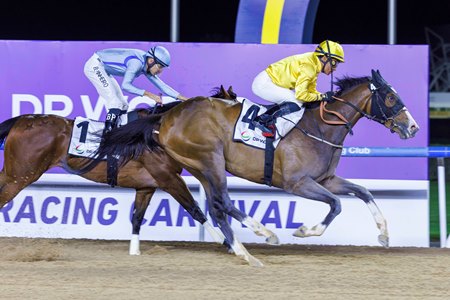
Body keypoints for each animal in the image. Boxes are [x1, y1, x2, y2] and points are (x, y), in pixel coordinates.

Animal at [0, 86, 250, 255]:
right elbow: (195, 209)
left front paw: (134, 250)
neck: (159, 131)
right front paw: (226, 242)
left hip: (12, 172)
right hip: (20, 175)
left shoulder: (147, 185)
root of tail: (21, 121)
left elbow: (137, 217)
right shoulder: (169, 178)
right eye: (233, 110)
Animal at [76, 69, 418, 266]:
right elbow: (336, 205)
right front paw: (305, 230)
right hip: (210, 159)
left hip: (199, 166)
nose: (412, 127)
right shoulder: (297, 183)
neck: (320, 127)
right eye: (390, 97)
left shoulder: (327, 179)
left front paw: (384, 235)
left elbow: (363, 192)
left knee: (216, 207)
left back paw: (242, 250)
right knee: (223, 202)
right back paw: (263, 234)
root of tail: (167, 115)